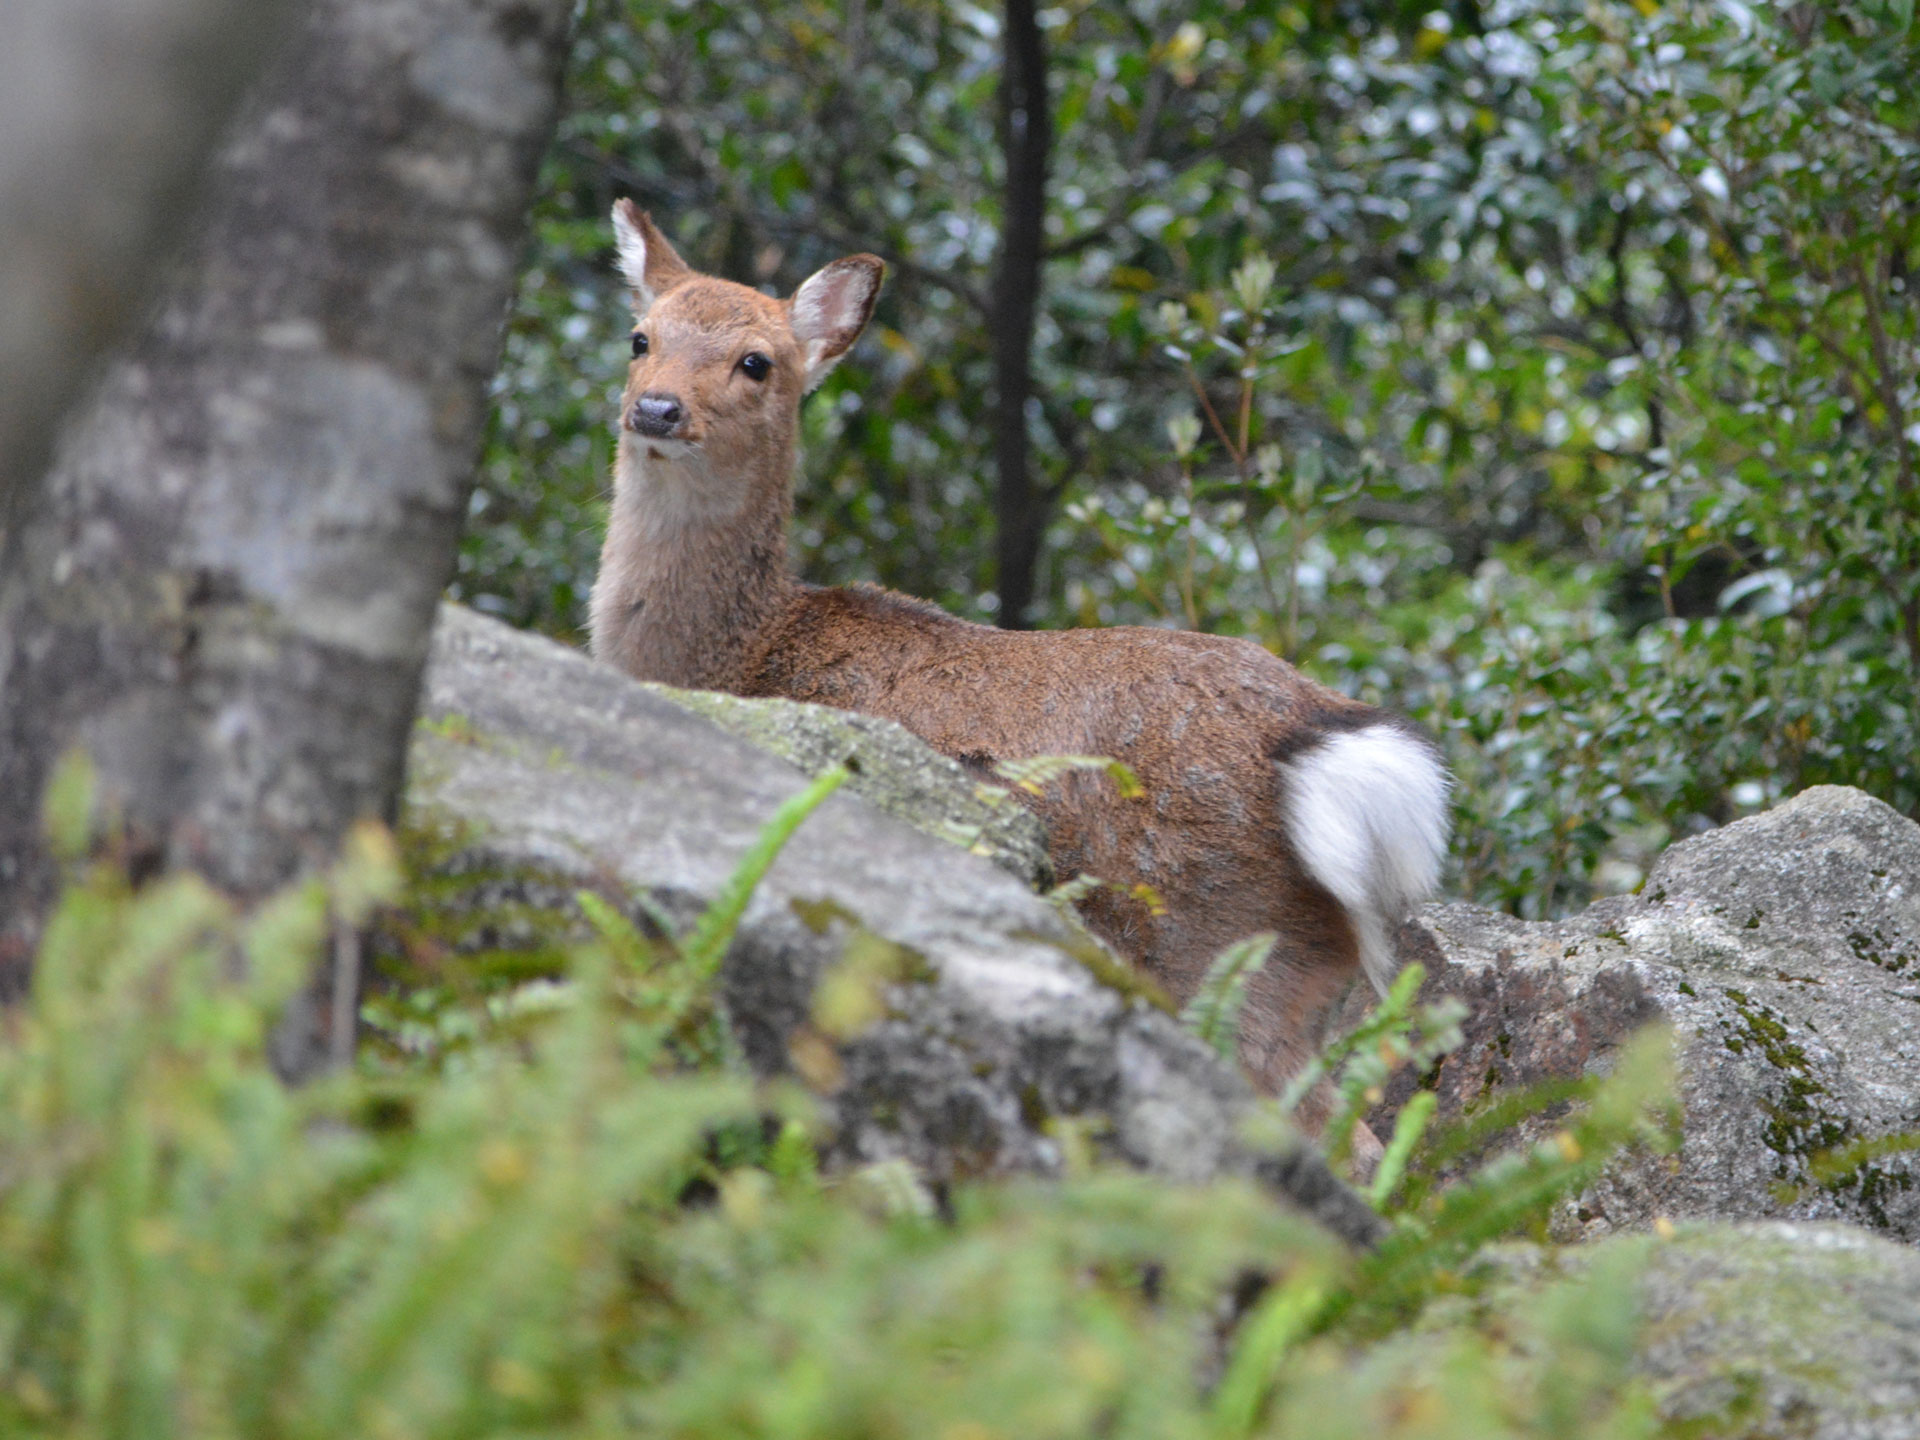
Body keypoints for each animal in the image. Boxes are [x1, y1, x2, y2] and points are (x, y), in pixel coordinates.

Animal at [591, 200, 1443, 1128]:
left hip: (1220, 947)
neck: (739, 653)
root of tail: (1326, 742)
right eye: (640, 337)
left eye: (756, 362)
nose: (658, 409)